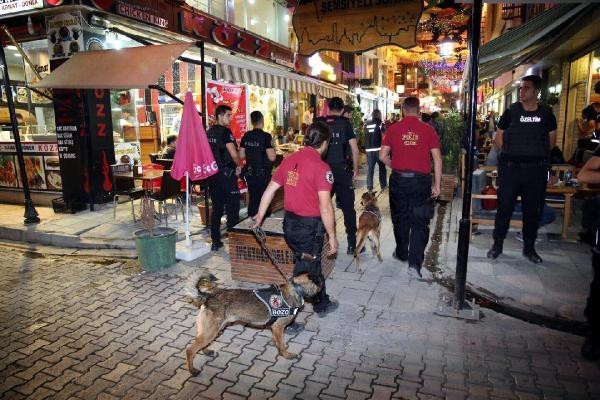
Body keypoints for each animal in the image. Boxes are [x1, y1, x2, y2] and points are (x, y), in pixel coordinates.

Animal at [185, 270, 322, 376]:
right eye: (320, 287)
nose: (320, 301)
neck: (296, 289)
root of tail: (209, 296)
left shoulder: (275, 329)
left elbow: (278, 342)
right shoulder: (278, 327)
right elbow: (282, 344)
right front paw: (286, 355)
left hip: (210, 330)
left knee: (199, 343)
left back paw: (206, 351)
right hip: (211, 331)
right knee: (190, 350)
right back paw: (192, 370)